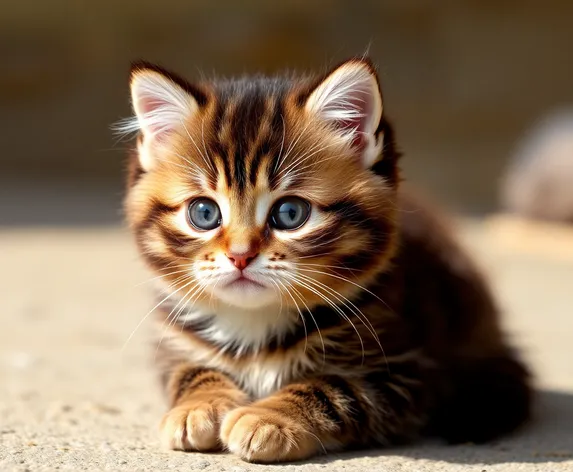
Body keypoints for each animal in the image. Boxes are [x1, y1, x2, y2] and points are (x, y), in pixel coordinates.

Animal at [117, 57, 532, 462]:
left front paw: (270, 417)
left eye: (290, 214)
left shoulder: (411, 372)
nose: (240, 255)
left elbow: (335, 387)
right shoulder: (172, 343)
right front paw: (199, 404)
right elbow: (189, 370)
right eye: (204, 213)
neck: (255, 326)